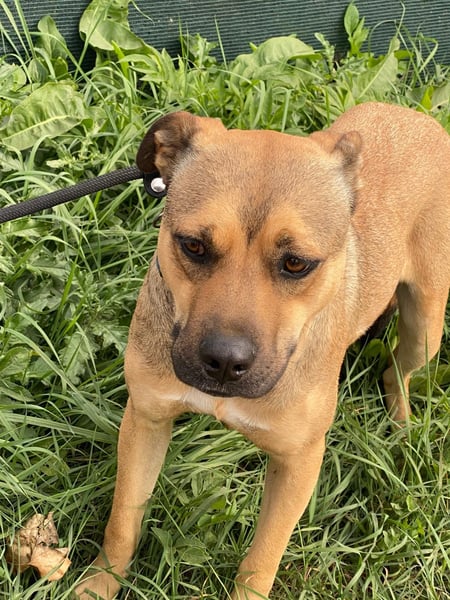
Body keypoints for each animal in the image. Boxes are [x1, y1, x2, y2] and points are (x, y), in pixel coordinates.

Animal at [76, 102, 450, 599]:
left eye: (296, 263)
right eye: (193, 245)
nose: (224, 362)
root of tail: (419, 117)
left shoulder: (298, 463)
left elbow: (262, 560)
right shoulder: (146, 420)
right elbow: (122, 522)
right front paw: (101, 582)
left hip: (425, 327)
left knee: (396, 372)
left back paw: (401, 426)